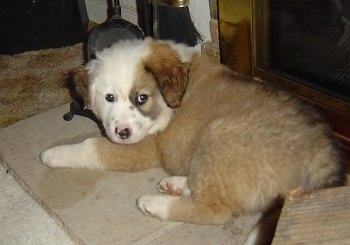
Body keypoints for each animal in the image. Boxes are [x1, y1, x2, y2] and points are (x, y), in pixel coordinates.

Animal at [41, 38, 344, 234]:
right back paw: (175, 185)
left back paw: (155, 204)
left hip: (218, 134)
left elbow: (91, 146)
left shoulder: (144, 146)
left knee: (214, 209)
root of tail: (321, 151)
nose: (123, 132)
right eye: (109, 97)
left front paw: (52, 154)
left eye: (142, 98)